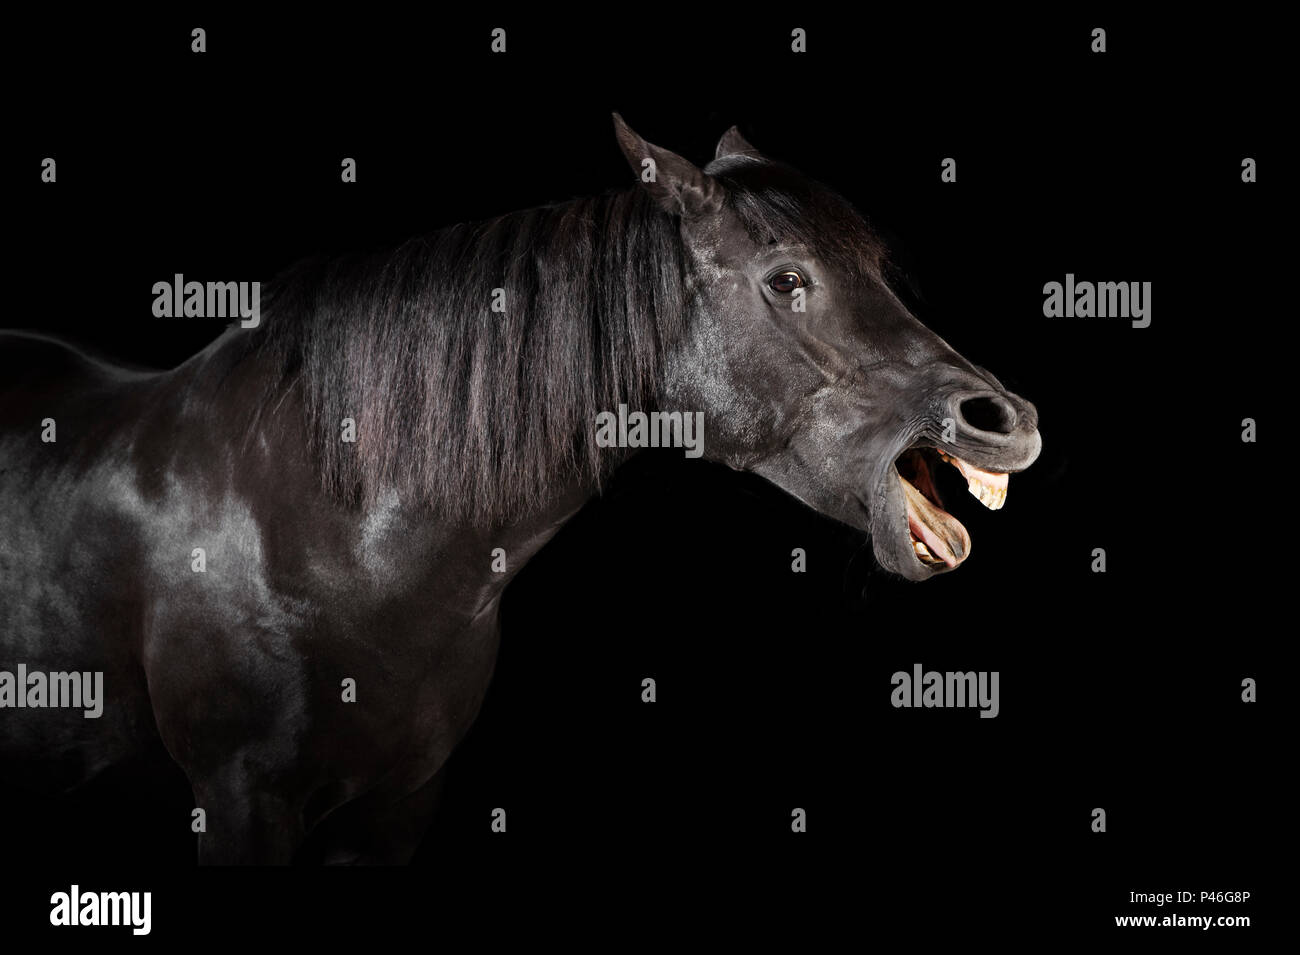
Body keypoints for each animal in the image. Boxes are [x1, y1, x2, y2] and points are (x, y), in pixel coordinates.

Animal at [0, 115, 1034, 862]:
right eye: (787, 279)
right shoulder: (242, 807)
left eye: (880, 272)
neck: (331, 531)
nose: (1005, 420)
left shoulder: (398, 808)